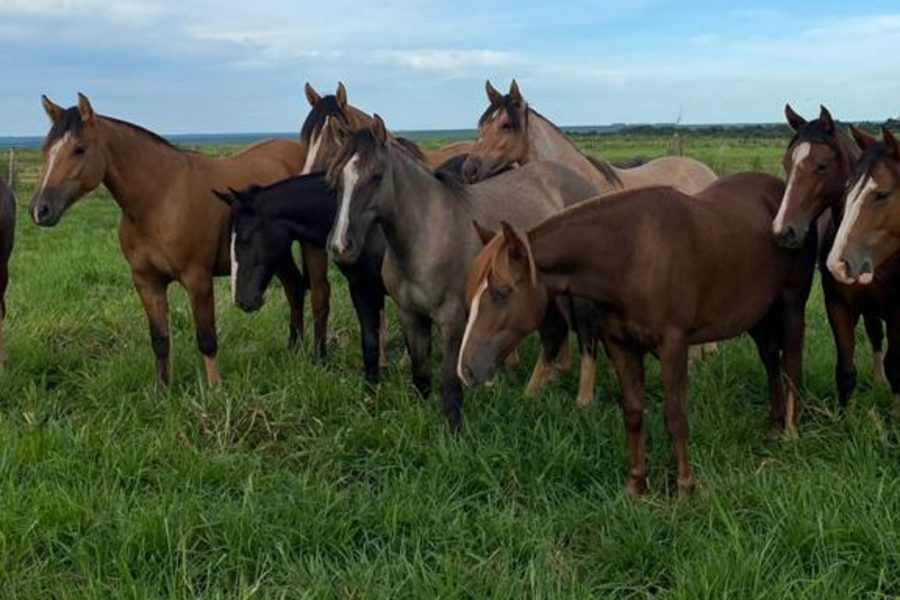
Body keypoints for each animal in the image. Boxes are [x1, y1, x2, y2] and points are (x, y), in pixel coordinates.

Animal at [28, 94, 332, 384]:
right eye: (45, 149)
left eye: (79, 149)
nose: (40, 210)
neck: (158, 199)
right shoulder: (147, 283)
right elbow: (160, 340)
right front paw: (163, 391)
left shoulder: (197, 280)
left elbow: (207, 340)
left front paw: (215, 392)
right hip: (273, 254)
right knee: (294, 288)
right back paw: (293, 352)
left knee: (317, 294)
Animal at [326, 115, 596, 428]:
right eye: (335, 178)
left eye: (376, 176)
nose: (341, 245)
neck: (426, 235)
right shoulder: (410, 315)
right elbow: (421, 374)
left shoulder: (452, 319)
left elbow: (450, 380)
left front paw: (454, 429)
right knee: (555, 332)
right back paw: (534, 391)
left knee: (587, 337)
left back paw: (583, 401)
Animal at [458, 172, 816, 492]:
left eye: (502, 292)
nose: (467, 370)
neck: (631, 255)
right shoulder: (621, 345)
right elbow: (632, 413)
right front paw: (636, 483)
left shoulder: (673, 346)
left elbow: (674, 416)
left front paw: (685, 487)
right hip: (758, 314)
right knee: (771, 361)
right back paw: (773, 425)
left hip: (790, 305)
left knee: (791, 363)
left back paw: (790, 431)